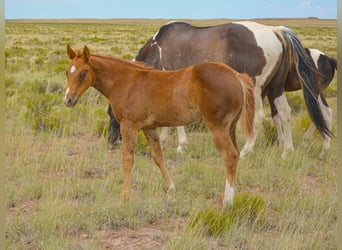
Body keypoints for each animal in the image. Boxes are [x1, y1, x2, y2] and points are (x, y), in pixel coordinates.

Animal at [64, 45, 255, 209]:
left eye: (83, 73)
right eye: (67, 72)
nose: (68, 100)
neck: (126, 82)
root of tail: (236, 76)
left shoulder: (129, 126)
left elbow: (127, 159)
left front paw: (124, 196)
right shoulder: (149, 128)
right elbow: (158, 157)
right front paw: (170, 188)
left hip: (217, 127)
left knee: (229, 156)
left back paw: (227, 202)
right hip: (230, 128)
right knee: (235, 155)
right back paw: (222, 197)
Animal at [107, 21, 334, 158]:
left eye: (112, 114)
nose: (112, 143)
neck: (158, 48)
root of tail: (274, 30)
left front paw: (180, 145)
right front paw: (164, 139)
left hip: (256, 88)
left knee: (260, 117)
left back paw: (246, 151)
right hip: (275, 87)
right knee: (284, 114)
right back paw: (287, 150)